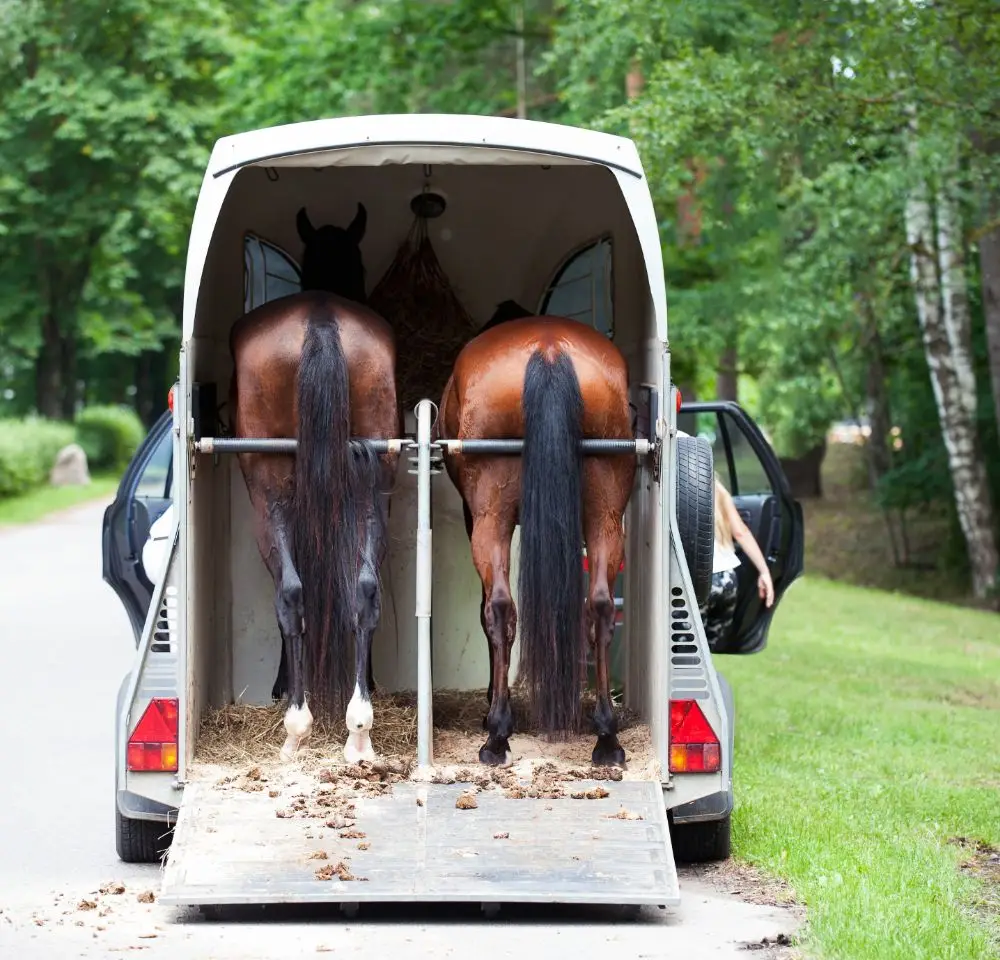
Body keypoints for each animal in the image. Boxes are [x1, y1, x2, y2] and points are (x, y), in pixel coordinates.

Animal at [229, 203, 399, 764]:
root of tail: (320, 319)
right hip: (373, 490)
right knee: (364, 589)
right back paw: (359, 728)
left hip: (268, 502)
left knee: (291, 593)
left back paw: (296, 727)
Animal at [439, 316, 637, 767]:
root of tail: (549, 348)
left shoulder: (474, 516)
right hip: (606, 514)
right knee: (600, 607)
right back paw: (607, 737)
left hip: (490, 515)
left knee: (498, 607)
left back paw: (496, 736)